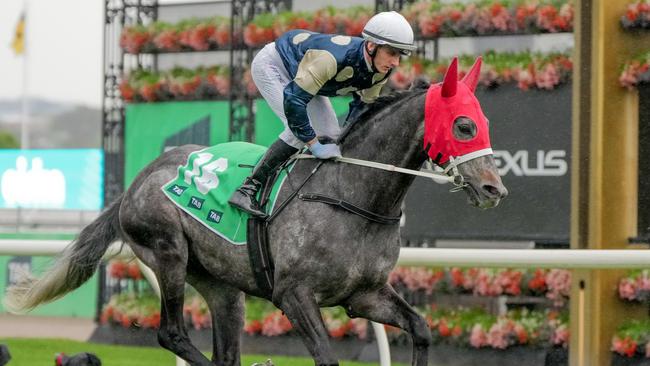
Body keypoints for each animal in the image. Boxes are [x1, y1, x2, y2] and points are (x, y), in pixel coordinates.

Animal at [6, 58, 506, 364]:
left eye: (484, 122)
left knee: (225, 348)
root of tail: (136, 181)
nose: (493, 188)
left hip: (223, 287)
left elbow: (420, 327)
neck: (355, 197)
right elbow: (326, 355)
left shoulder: (365, 294)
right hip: (167, 252)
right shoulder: (293, 294)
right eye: (464, 125)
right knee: (172, 333)